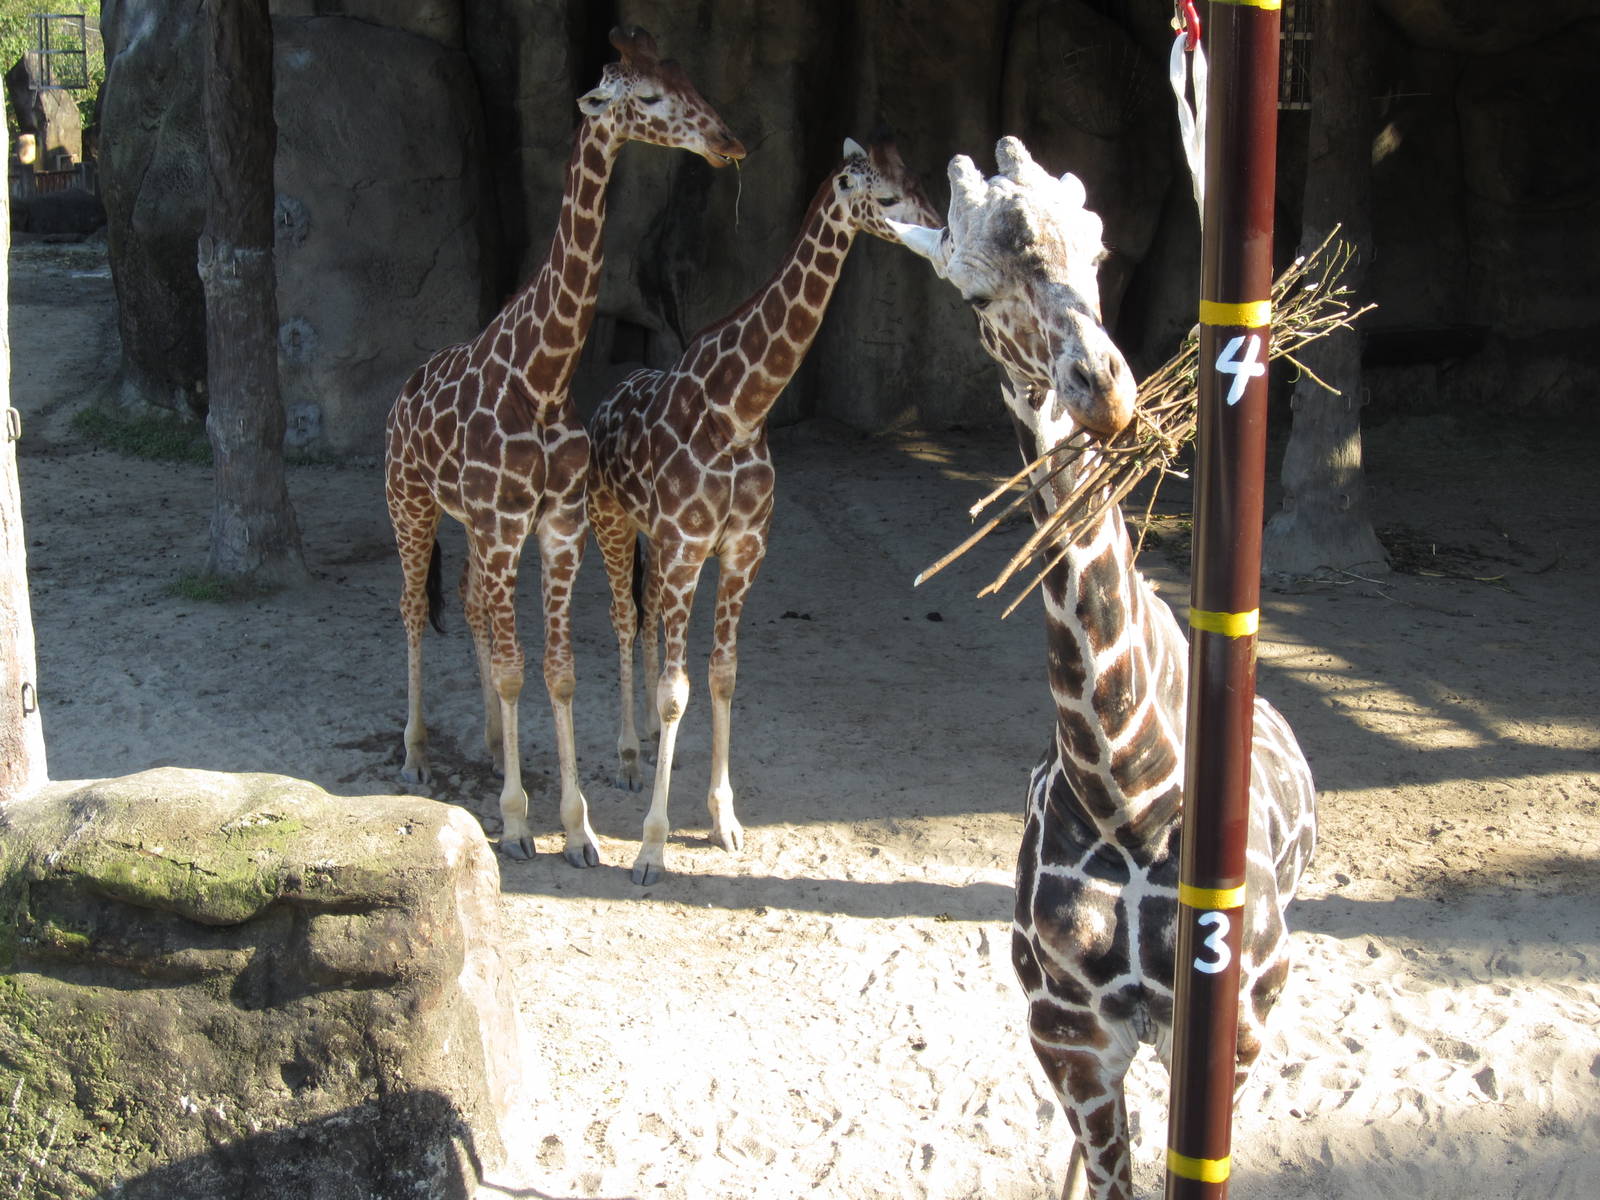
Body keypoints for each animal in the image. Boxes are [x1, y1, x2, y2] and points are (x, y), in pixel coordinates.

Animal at [383, 27, 745, 864]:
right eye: (649, 98)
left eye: (689, 79)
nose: (728, 142)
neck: (542, 374)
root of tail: (402, 394)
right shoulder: (503, 523)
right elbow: (521, 670)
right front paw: (519, 822)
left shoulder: (555, 525)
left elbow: (557, 672)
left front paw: (578, 828)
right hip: (410, 505)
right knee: (414, 609)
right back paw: (415, 752)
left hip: (470, 526)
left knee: (472, 606)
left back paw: (489, 743)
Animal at [586, 136, 940, 886]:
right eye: (887, 197)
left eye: (923, 181)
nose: (938, 232)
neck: (738, 412)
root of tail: (605, 401)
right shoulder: (689, 546)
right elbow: (676, 690)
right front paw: (652, 846)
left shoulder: (740, 549)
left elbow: (720, 676)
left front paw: (724, 819)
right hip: (612, 522)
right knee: (625, 621)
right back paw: (629, 758)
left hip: (657, 544)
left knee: (652, 622)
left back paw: (652, 748)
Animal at [891, 138, 1316, 1200]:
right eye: (970, 291)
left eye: (1098, 247)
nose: (1106, 390)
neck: (1135, 789)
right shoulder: (1069, 1037)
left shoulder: (1229, 1035)